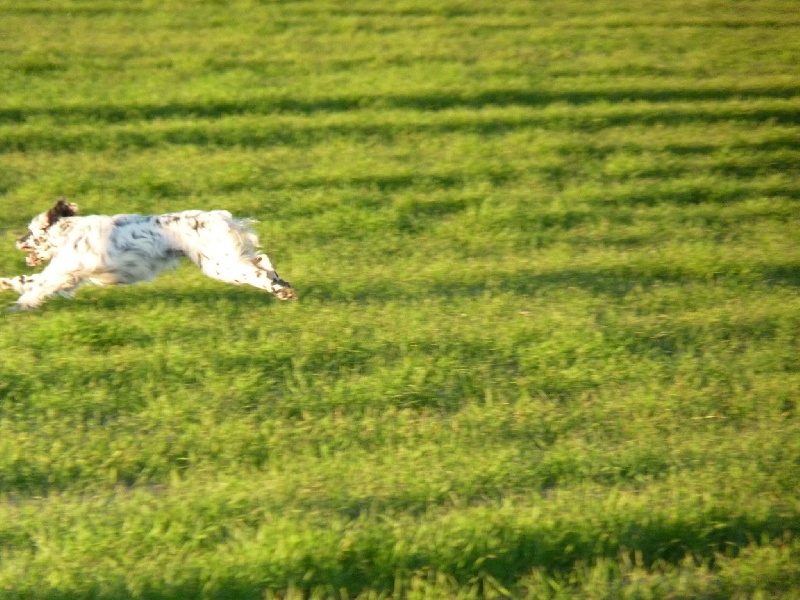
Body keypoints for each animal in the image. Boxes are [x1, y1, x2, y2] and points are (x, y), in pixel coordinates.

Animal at [0, 199, 296, 310]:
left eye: (29, 231)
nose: (16, 241)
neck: (68, 232)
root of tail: (222, 218)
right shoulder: (66, 275)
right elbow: (29, 282)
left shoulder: (62, 273)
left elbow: (32, 285)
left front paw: (15, 300)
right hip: (227, 262)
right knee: (263, 262)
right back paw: (284, 287)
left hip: (221, 265)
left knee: (259, 273)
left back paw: (281, 290)